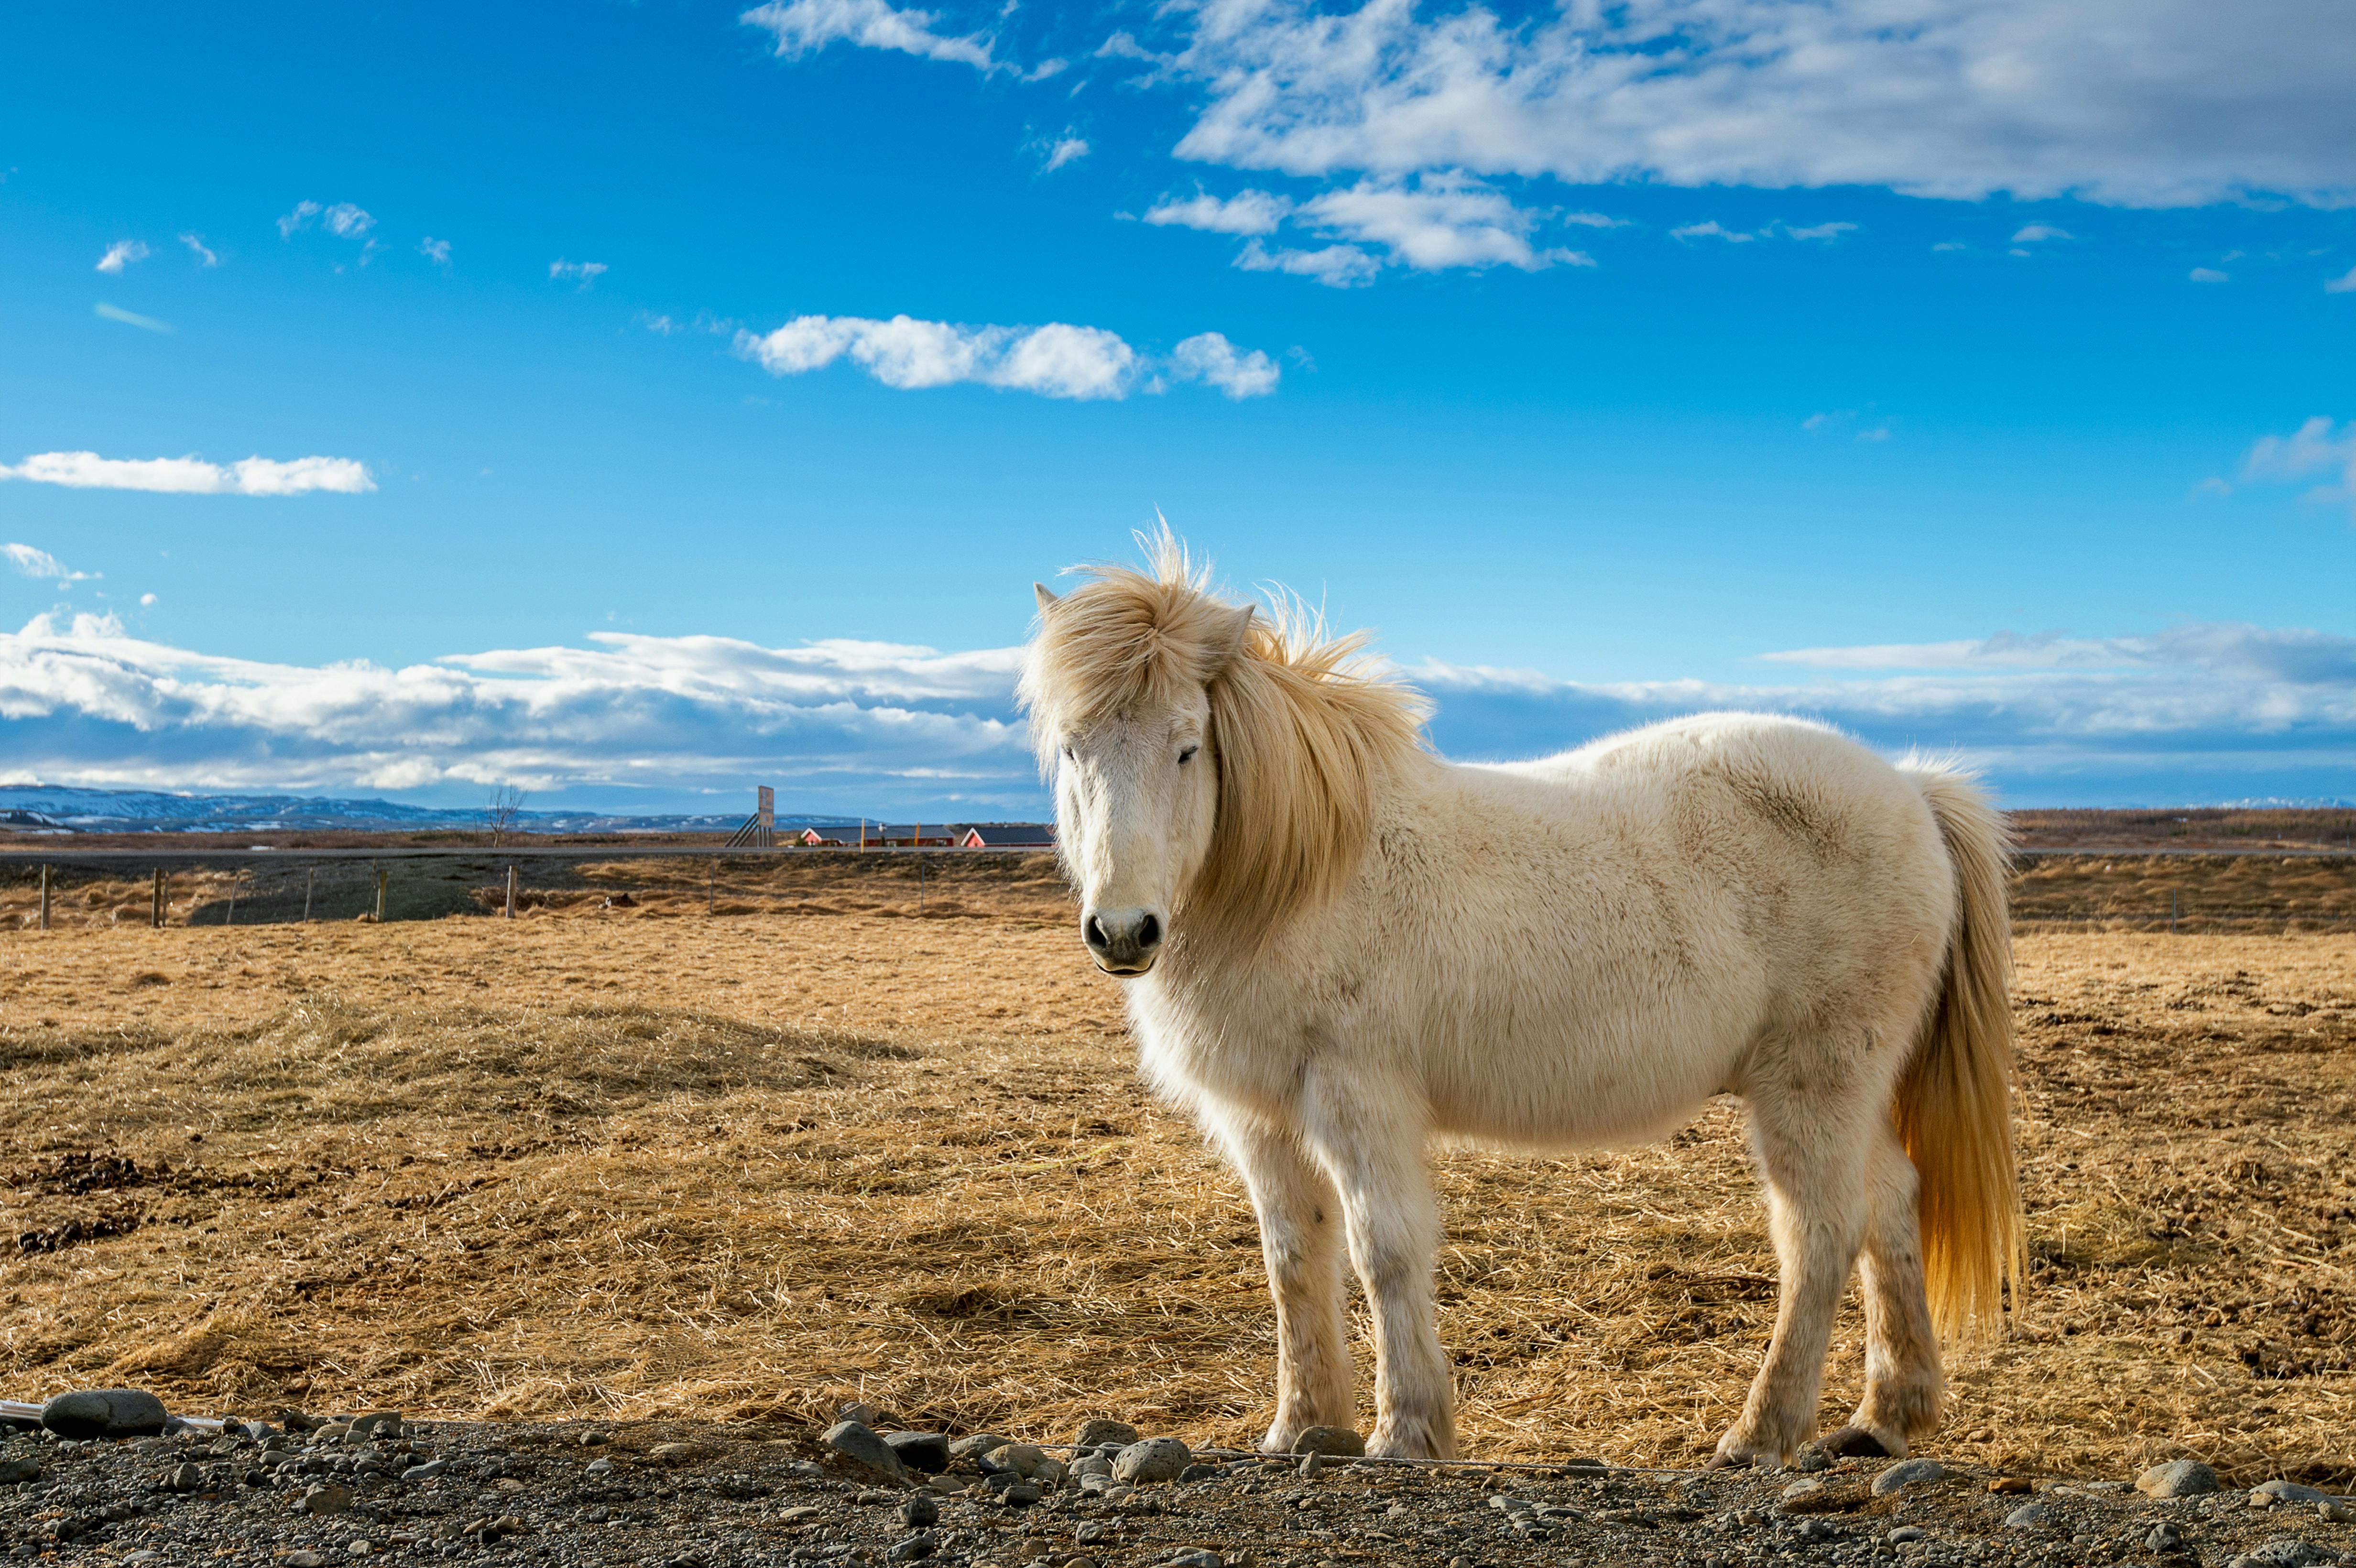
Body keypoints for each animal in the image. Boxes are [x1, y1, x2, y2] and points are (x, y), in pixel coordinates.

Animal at [1017, 541, 2026, 1469]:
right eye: (1071, 748)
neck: (1300, 874)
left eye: (1188, 746)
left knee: (1819, 1235)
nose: (1124, 931)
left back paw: (1761, 1433)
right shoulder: (1260, 1116)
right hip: (1847, 1092)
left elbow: (1383, 1250)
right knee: (1889, 1204)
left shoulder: (1356, 1096)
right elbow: (1293, 1261)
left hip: (1811, 1085)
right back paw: (1886, 1417)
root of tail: (1911, 790)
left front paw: (1405, 1432)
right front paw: (1300, 1428)